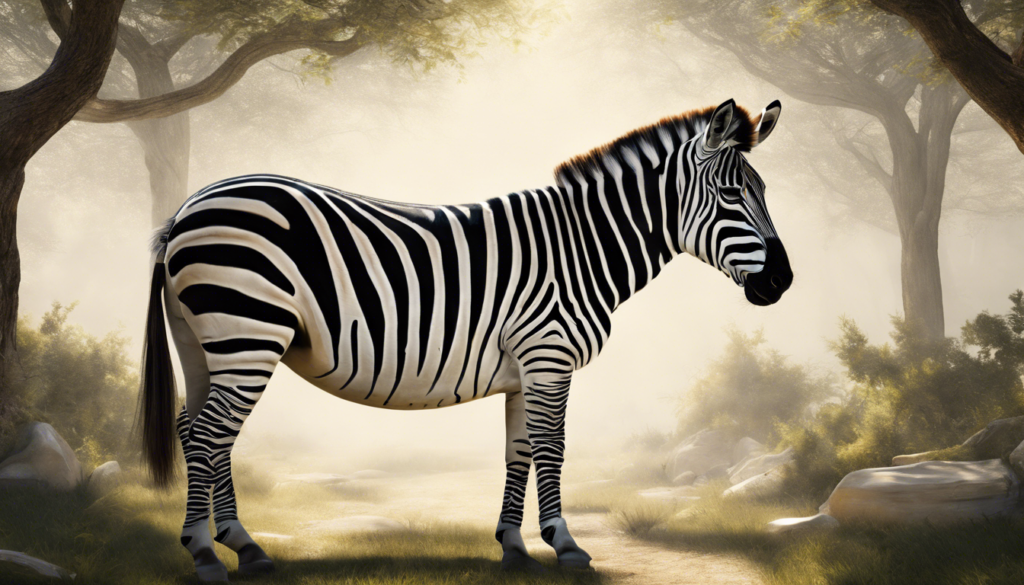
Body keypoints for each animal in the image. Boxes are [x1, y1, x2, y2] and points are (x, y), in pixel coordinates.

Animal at [139, 99, 792, 581]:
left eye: (765, 193)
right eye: (732, 195)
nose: (783, 282)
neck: (582, 247)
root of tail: (188, 208)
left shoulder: (525, 368)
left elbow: (518, 451)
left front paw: (514, 548)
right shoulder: (549, 354)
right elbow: (552, 449)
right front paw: (566, 545)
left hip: (204, 342)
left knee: (198, 429)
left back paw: (243, 548)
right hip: (249, 332)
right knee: (209, 434)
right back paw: (206, 554)